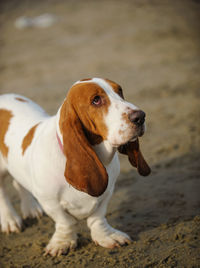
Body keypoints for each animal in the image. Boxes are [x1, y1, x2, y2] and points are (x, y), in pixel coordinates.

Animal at [0, 77, 150, 255]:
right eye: (96, 100)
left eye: (120, 91)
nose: (140, 116)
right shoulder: (49, 201)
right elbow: (65, 222)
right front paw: (62, 243)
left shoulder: (107, 192)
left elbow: (97, 218)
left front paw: (107, 236)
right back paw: (10, 220)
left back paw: (30, 209)